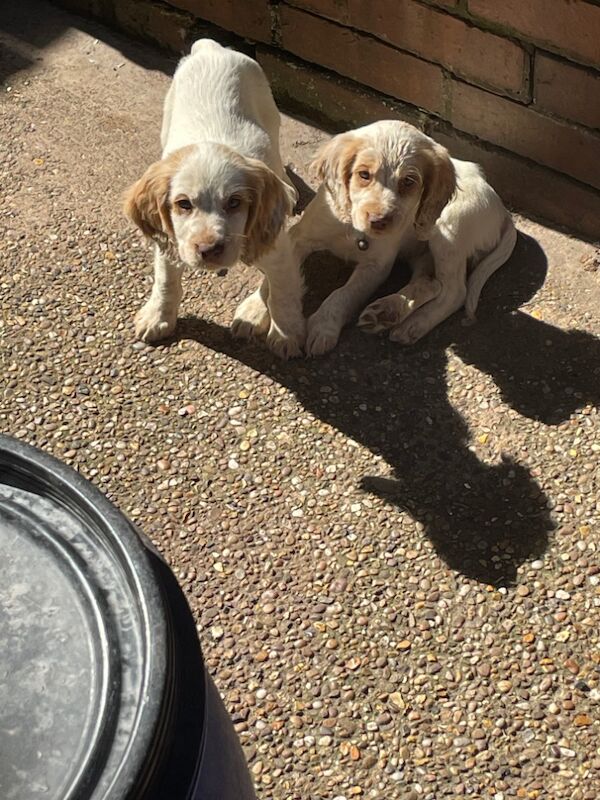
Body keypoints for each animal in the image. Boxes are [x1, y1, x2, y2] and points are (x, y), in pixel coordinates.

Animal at [125, 39, 304, 360]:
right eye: (183, 204)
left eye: (234, 203)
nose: (209, 249)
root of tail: (211, 48)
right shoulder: (172, 240)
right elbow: (166, 280)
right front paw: (158, 317)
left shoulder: (277, 249)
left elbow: (283, 291)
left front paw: (286, 334)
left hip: (268, 109)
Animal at [290, 119, 516, 354]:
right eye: (364, 175)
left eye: (408, 181)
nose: (379, 221)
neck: (353, 228)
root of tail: (503, 211)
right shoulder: (298, 237)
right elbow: (285, 279)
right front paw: (284, 327)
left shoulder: (376, 266)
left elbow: (344, 294)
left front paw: (324, 326)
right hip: (424, 250)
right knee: (430, 282)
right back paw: (388, 311)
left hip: (448, 229)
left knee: (454, 291)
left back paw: (412, 324)